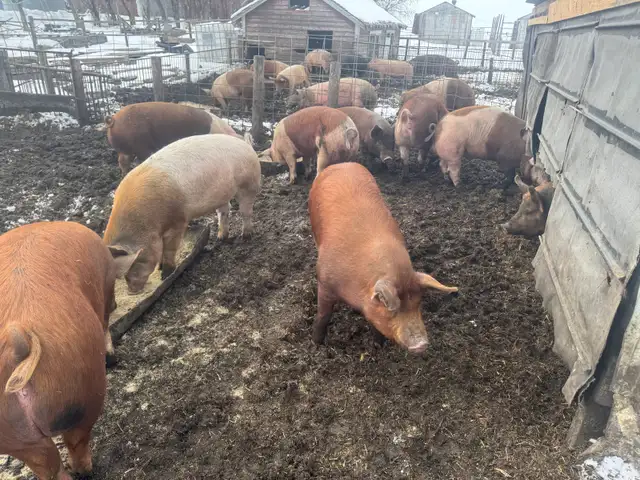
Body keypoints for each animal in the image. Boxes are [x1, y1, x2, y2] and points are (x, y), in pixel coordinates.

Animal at [0, 221, 116, 480]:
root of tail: (18, 341)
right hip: (84, 387)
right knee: (77, 440)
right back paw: (85, 470)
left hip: (15, 435)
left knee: (48, 465)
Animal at [104, 134, 261, 293]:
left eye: (135, 263)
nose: (132, 290)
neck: (149, 224)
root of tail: (246, 145)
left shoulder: (178, 220)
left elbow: (169, 249)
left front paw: (166, 275)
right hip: (223, 194)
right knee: (224, 211)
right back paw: (221, 238)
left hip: (248, 184)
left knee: (245, 211)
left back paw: (245, 236)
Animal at [309, 162, 459, 352]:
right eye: (393, 309)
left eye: (418, 303)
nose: (422, 344)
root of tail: (341, 164)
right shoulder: (324, 282)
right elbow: (323, 315)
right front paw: (317, 343)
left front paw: (377, 346)